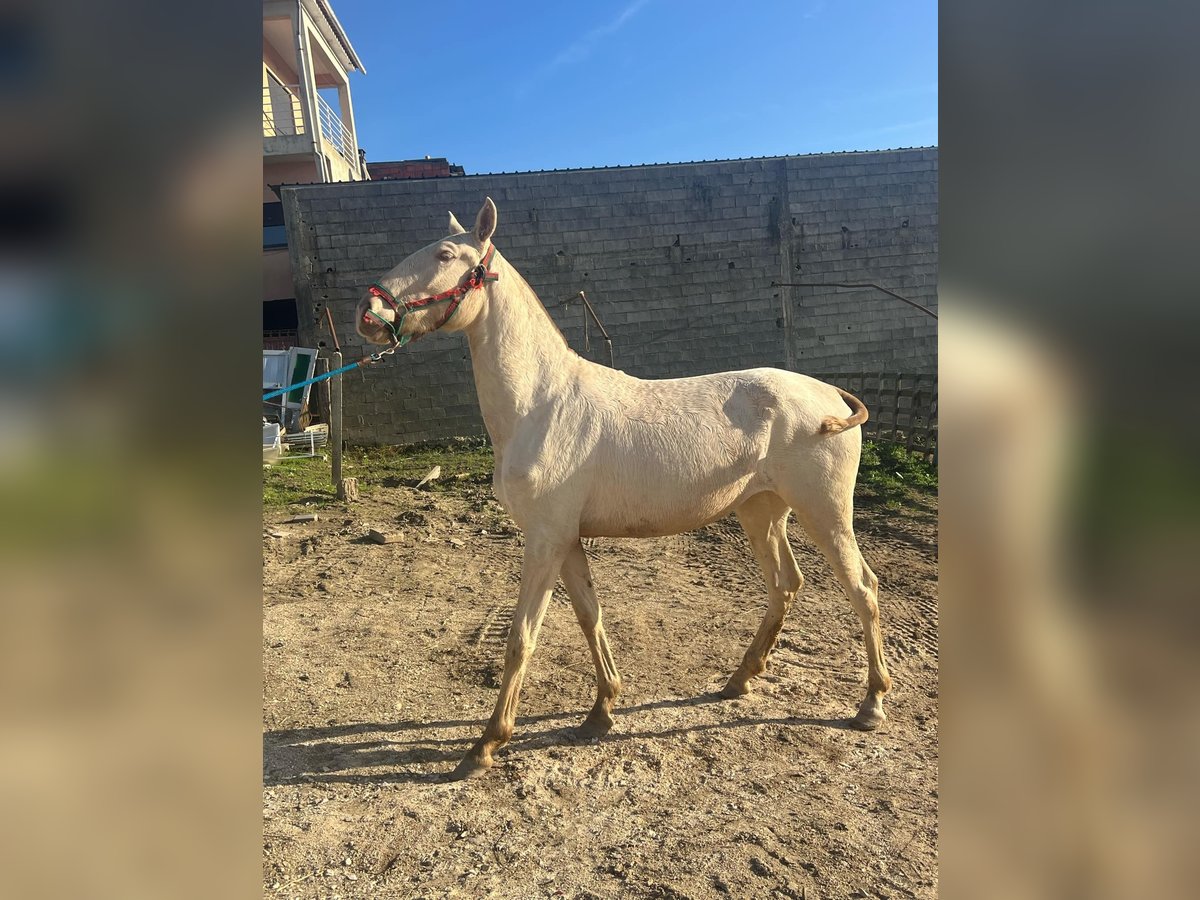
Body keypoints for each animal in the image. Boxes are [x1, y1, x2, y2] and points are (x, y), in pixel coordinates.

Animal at [355, 199, 892, 782]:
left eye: (445, 254)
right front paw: (600, 711)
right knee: (785, 585)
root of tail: (830, 395)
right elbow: (590, 617)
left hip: (825, 514)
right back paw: (739, 680)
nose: (369, 313)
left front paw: (485, 744)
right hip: (761, 513)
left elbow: (522, 637)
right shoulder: (566, 540)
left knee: (863, 589)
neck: (542, 404)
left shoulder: (544, 540)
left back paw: (870, 704)